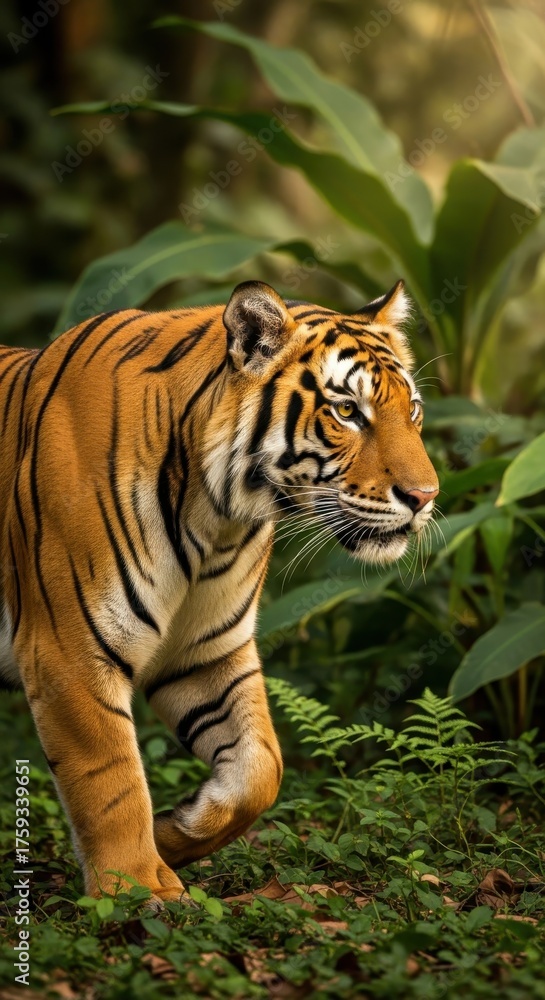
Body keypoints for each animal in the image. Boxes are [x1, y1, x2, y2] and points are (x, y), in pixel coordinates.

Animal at [0, 279, 438, 904]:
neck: (215, 515)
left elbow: (261, 767)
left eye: (414, 410)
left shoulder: (206, 651)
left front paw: (173, 835)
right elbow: (110, 782)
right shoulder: (70, 653)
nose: (426, 497)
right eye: (347, 411)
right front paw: (137, 891)